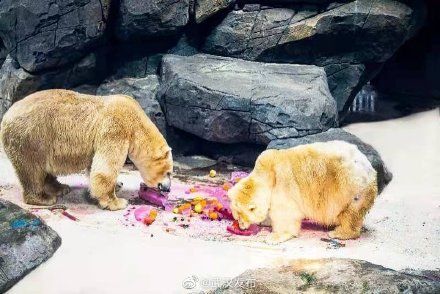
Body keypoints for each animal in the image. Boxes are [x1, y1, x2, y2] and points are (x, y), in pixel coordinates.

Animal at [0, 88, 173, 210]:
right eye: (169, 172)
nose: (168, 188)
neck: (136, 122)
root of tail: (6, 116)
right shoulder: (115, 127)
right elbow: (105, 168)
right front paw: (117, 202)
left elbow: (93, 167)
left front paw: (117, 185)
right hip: (31, 138)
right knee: (32, 170)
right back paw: (44, 198)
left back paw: (60, 188)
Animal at [229, 141, 376, 245]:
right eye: (236, 216)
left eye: (240, 216)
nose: (241, 227)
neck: (269, 173)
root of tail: (370, 169)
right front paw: (265, 222)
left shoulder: (283, 186)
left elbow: (285, 213)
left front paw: (274, 236)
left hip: (350, 188)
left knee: (350, 213)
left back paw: (339, 232)